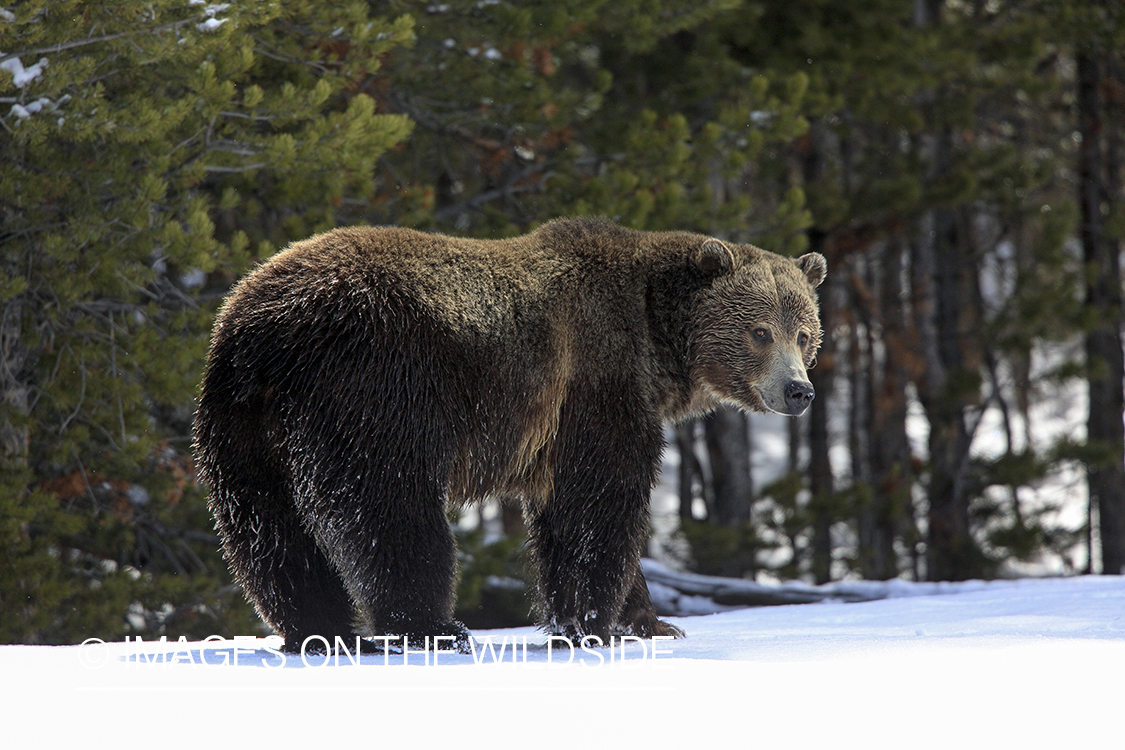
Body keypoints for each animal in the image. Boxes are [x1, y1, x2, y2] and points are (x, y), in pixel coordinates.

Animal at [193, 215, 828, 652]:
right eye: (759, 331)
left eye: (803, 330)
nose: (799, 390)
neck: (656, 340)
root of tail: (267, 330)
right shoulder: (593, 381)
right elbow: (597, 503)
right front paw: (594, 623)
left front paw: (650, 622)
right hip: (376, 385)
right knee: (391, 512)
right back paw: (435, 626)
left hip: (237, 423)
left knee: (265, 529)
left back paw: (321, 631)